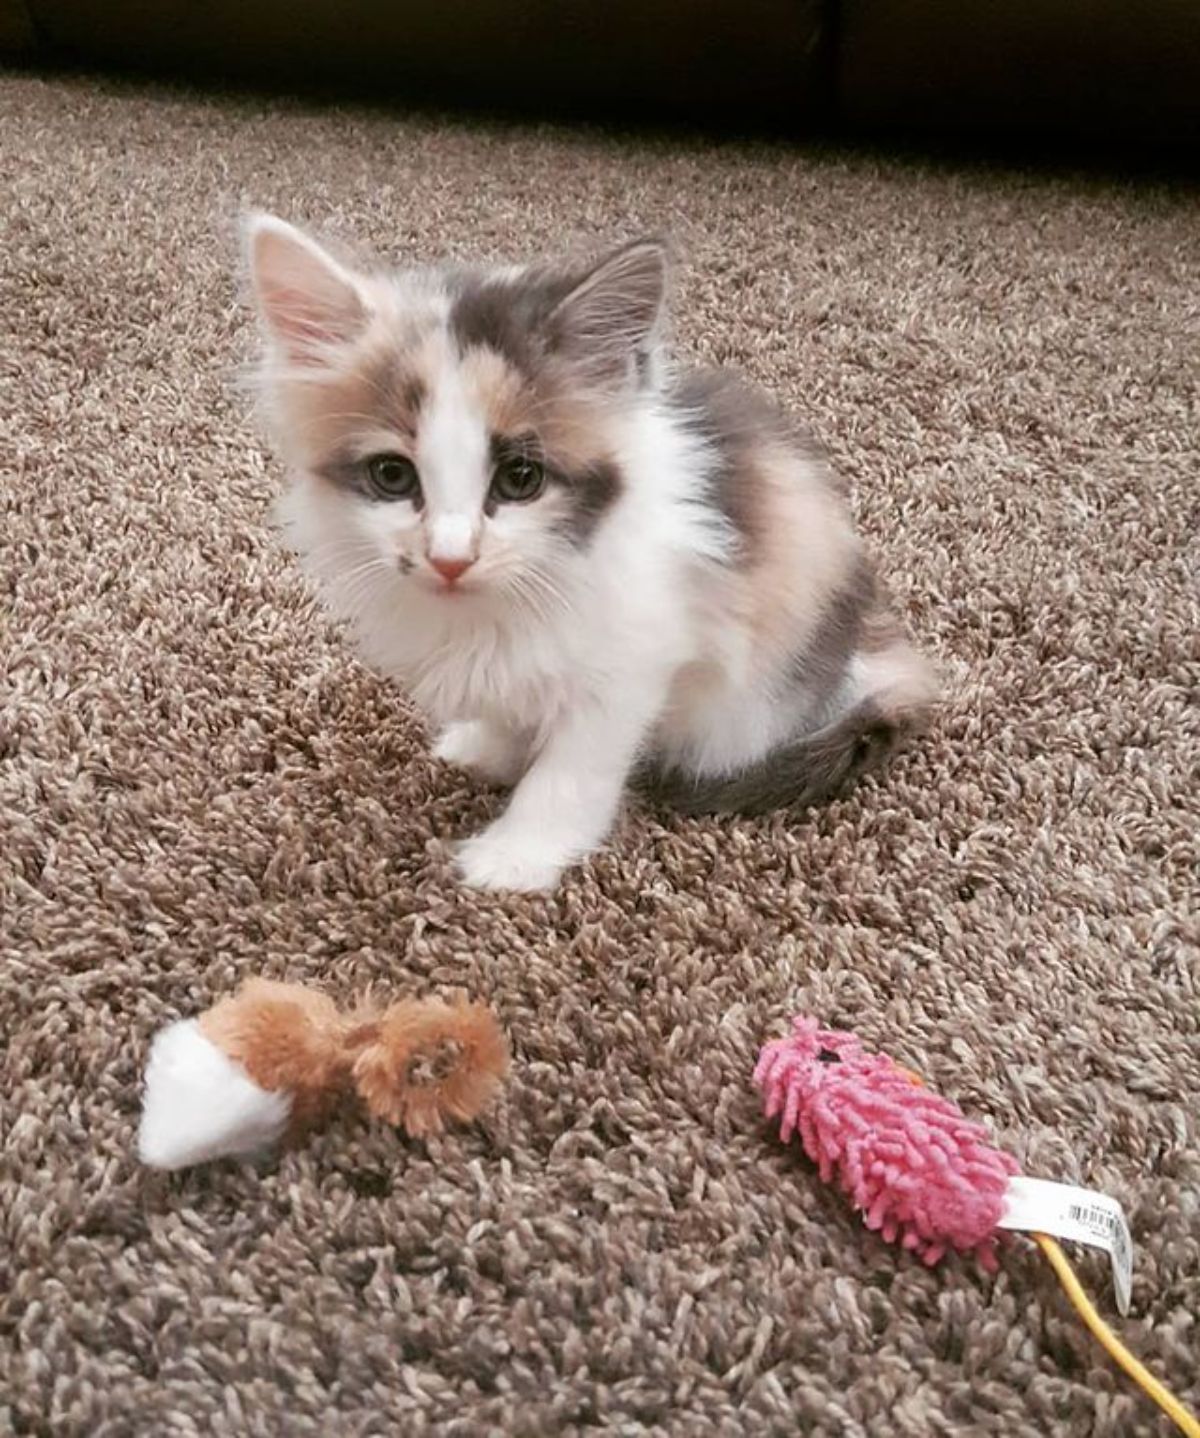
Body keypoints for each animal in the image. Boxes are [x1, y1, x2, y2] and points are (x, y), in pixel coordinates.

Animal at [246, 214, 932, 891]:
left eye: (520, 478)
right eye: (392, 475)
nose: (450, 557)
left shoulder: (632, 664)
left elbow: (570, 772)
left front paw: (514, 858)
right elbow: (512, 705)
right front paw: (489, 750)